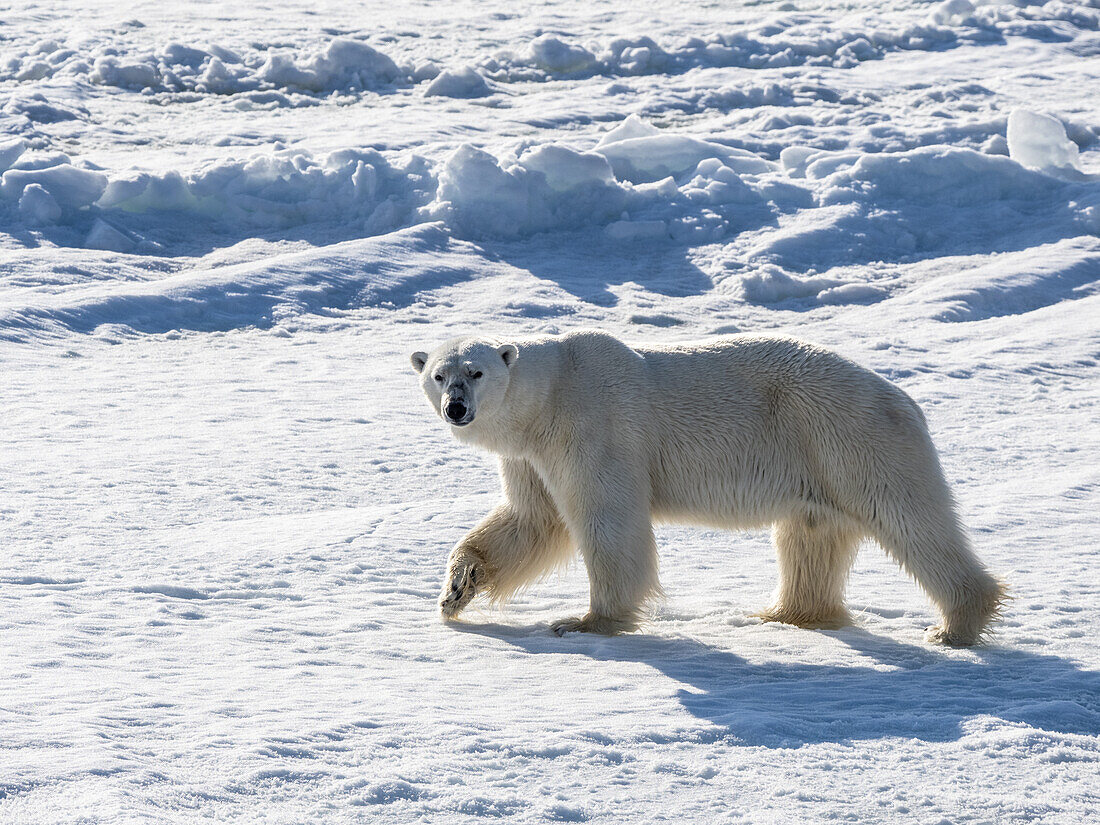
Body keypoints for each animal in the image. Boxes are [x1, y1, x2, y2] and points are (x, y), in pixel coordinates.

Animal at [411, 330, 1007, 646]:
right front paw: (456, 591)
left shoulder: (594, 428)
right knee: (810, 536)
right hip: (816, 464)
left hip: (850, 440)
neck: (550, 394)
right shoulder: (531, 456)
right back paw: (787, 613)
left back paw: (955, 625)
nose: (456, 408)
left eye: (476, 371)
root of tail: (903, 399)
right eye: (438, 374)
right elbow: (531, 520)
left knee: (910, 520)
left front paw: (585, 622)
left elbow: (607, 521)